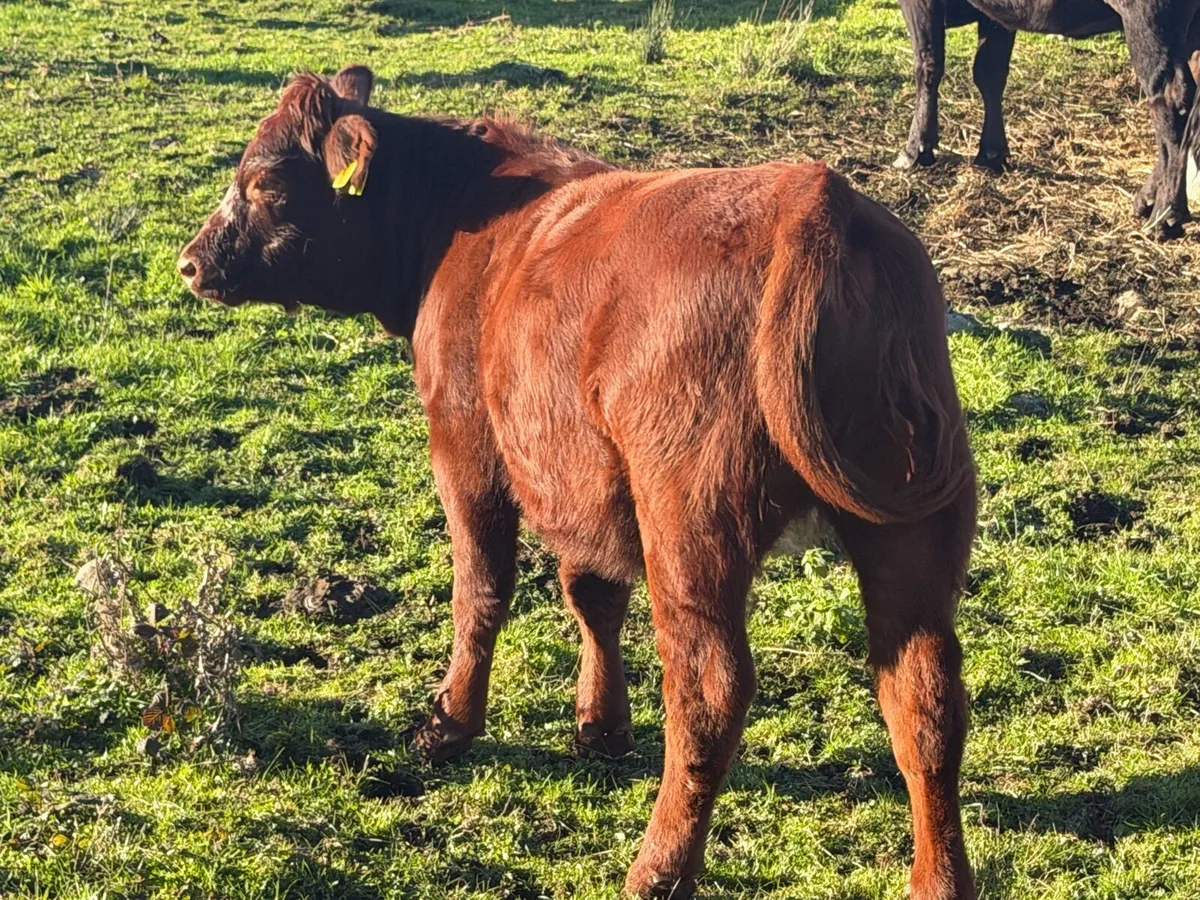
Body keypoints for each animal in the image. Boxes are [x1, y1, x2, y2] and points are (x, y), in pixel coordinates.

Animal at [179, 66, 979, 900]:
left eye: (266, 182)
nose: (191, 262)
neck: (462, 221)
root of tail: (811, 195)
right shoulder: (580, 473)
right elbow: (592, 592)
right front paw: (600, 726)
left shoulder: (467, 446)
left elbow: (481, 589)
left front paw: (450, 722)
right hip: (914, 524)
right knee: (925, 699)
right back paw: (939, 879)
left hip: (691, 525)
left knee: (710, 691)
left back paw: (659, 867)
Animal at [895, 0, 1200, 239]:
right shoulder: (998, 14)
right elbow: (989, 72)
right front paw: (991, 153)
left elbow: (928, 64)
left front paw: (915, 150)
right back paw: (1146, 200)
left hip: (1149, 22)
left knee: (1171, 101)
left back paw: (1165, 214)